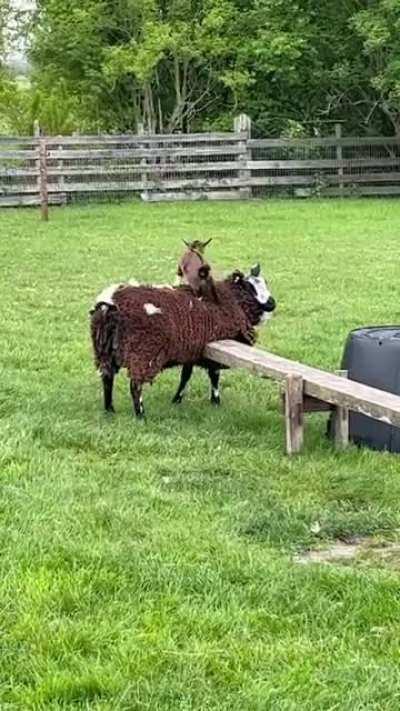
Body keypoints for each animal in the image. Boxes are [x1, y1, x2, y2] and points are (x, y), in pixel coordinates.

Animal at [90, 265, 276, 418]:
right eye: (250, 287)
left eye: (265, 283)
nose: (272, 304)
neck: (232, 300)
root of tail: (109, 304)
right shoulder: (214, 350)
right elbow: (214, 377)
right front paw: (216, 401)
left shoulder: (192, 350)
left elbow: (185, 376)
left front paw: (177, 400)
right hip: (143, 353)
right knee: (135, 385)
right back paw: (141, 415)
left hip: (104, 351)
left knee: (107, 378)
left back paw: (109, 410)